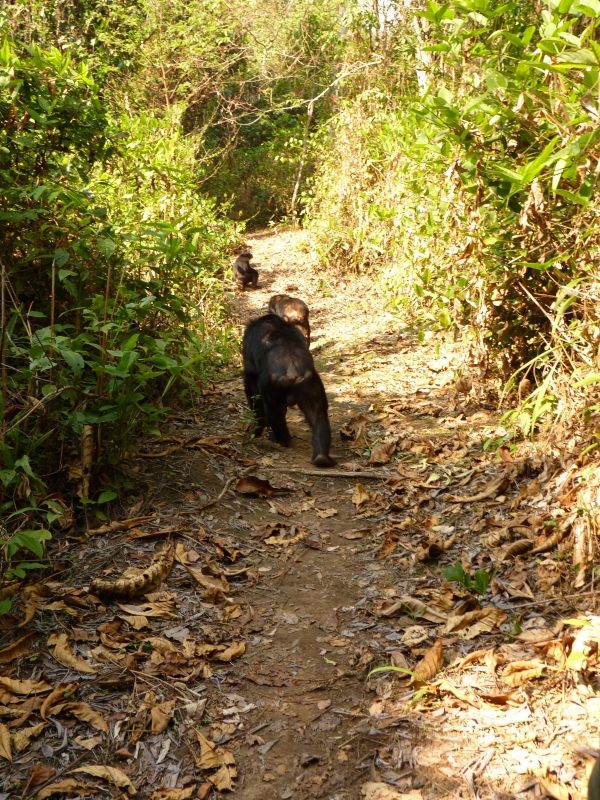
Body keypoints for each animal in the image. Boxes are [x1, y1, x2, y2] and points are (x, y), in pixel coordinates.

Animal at [242, 314, 336, 467]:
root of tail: (292, 370)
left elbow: (251, 382)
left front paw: (257, 427)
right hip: (310, 382)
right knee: (317, 413)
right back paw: (322, 457)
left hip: (271, 383)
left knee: (273, 409)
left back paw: (280, 439)